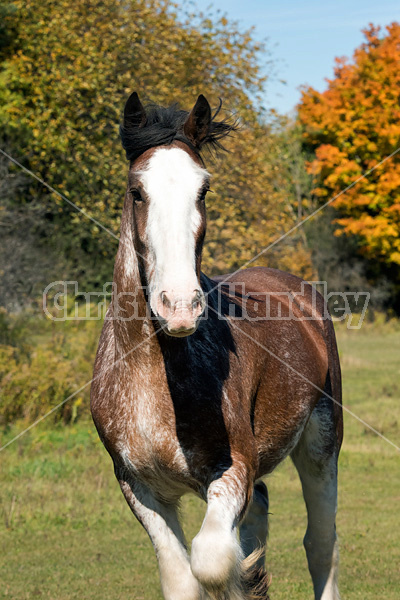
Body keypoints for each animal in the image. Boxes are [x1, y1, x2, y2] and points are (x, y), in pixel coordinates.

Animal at [90, 90, 340, 600]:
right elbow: (183, 577)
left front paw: (245, 576)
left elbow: (212, 562)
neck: (153, 375)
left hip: (323, 447)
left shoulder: (232, 469)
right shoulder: (137, 485)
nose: (180, 306)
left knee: (320, 544)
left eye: (203, 190)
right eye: (136, 191)